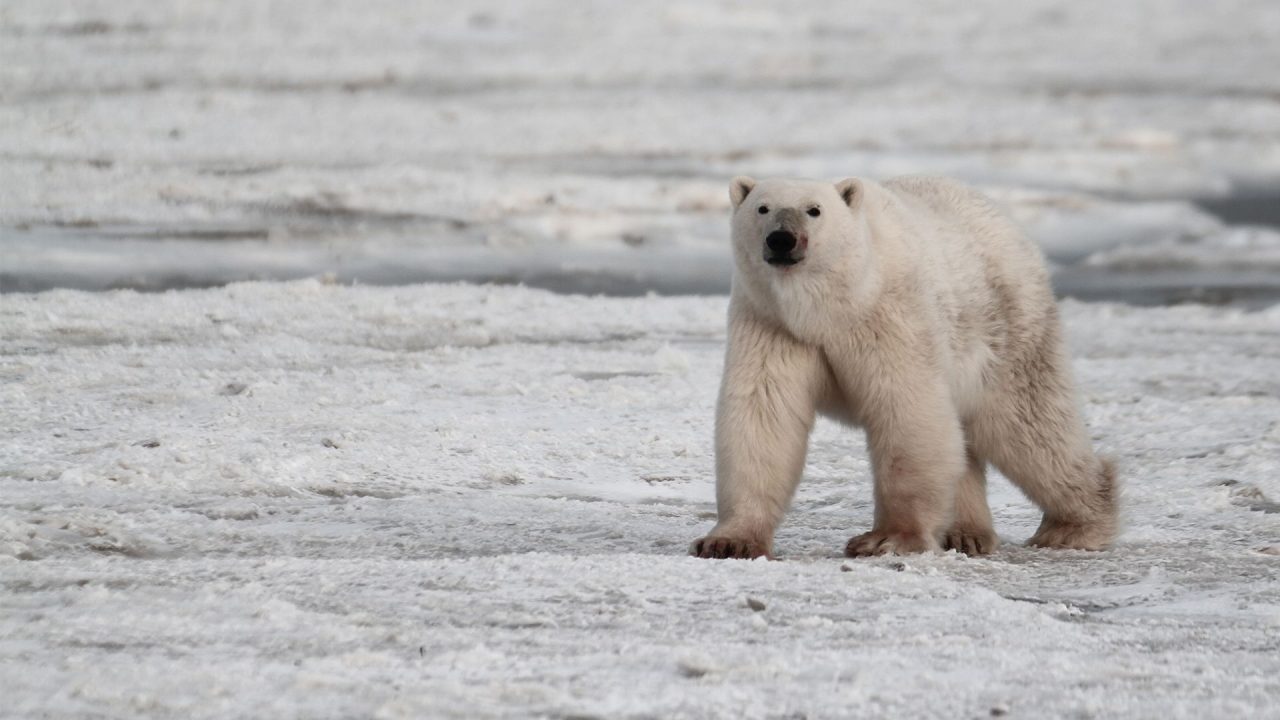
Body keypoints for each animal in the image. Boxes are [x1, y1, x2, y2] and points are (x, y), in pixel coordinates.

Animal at [691, 176, 1121, 558]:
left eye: (814, 210)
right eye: (762, 208)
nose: (781, 239)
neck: (831, 308)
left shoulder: (889, 317)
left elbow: (906, 411)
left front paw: (886, 539)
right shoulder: (771, 324)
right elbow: (763, 416)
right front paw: (728, 542)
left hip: (1008, 328)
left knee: (1030, 427)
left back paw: (1075, 526)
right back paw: (966, 533)